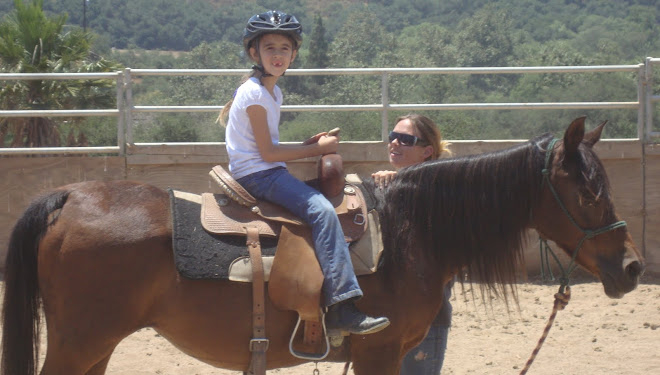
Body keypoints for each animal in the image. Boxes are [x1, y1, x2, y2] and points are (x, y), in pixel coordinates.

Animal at [0, 117, 644, 375]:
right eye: (589, 193)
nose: (634, 267)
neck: (410, 232)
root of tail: (67, 195)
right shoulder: (381, 353)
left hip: (96, 346)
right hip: (80, 343)